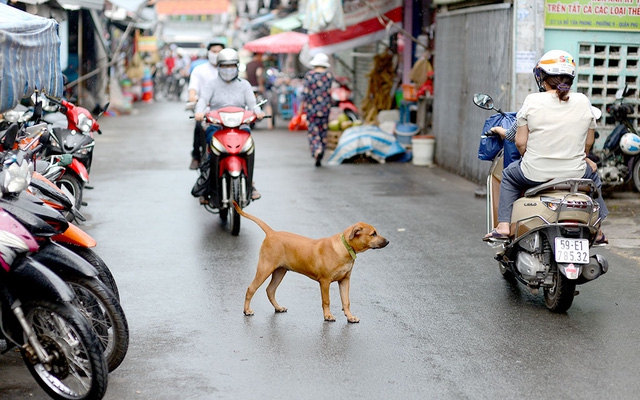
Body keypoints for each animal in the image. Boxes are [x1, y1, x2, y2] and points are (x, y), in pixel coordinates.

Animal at [234, 203, 388, 322]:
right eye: (373, 234)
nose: (388, 241)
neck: (344, 247)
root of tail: (271, 233)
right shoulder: (325, 281)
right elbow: (326, 301)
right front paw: (328, 316)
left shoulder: (345, 280)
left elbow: (346, 301)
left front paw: (350, 317)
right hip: (265, 268)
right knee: (251, 288)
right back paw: (247, 310)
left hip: (280, 271)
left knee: (270, 290)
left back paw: (278, 308)